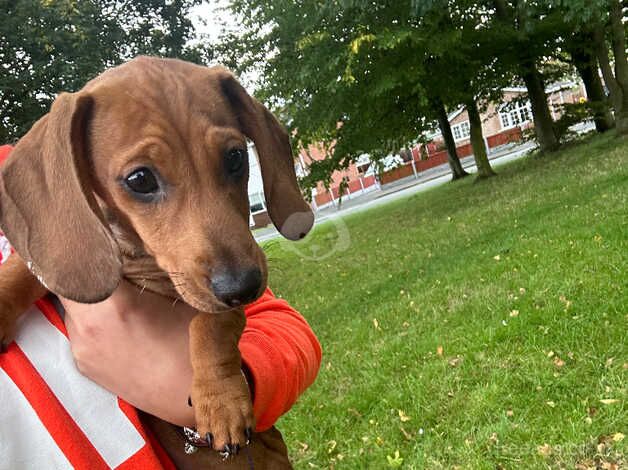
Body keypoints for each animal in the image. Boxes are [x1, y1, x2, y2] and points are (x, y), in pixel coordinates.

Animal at [0, 57, 314, 464]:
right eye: (140, 179)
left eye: (235, 157)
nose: (245, 287)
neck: (138, 258)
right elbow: (21, 270)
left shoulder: (214, 302)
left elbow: (211, 324)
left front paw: (222, 402)